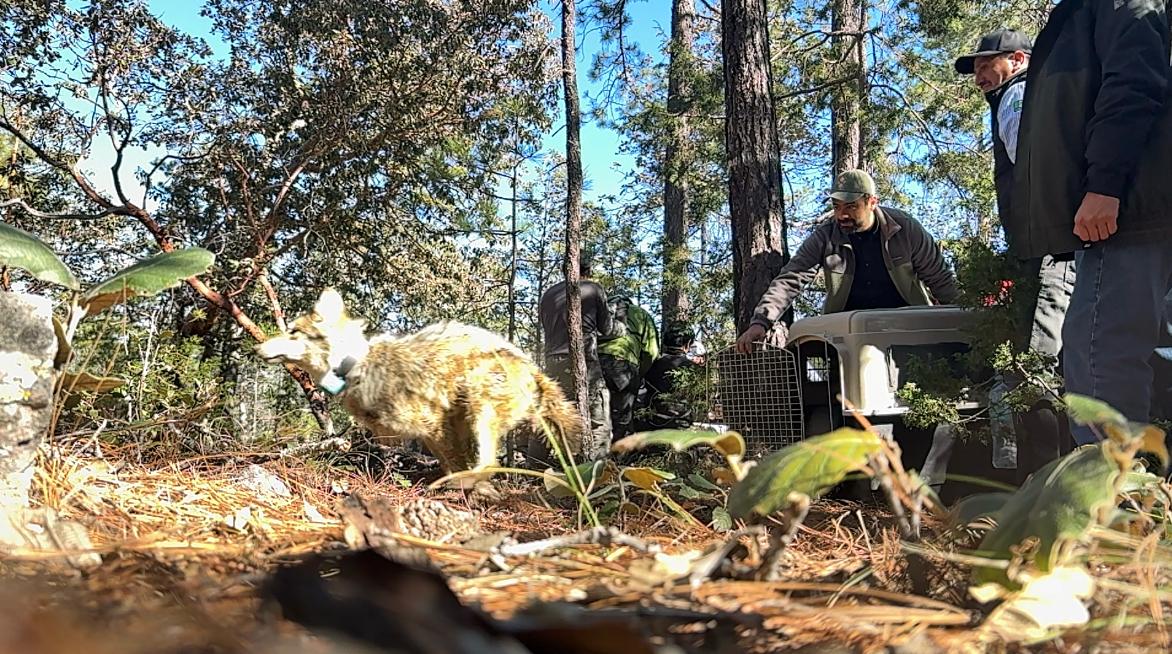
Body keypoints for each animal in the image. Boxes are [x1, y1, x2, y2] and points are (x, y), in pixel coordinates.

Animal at [254, 289, 584, 483]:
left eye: (293, 332)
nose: (256, 348)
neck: (357, 365)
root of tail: (534, 369)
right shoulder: (422, 434)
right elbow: (447, 462)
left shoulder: (434, 425)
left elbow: (455, 464)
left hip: (479, 407)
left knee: (489, 463)